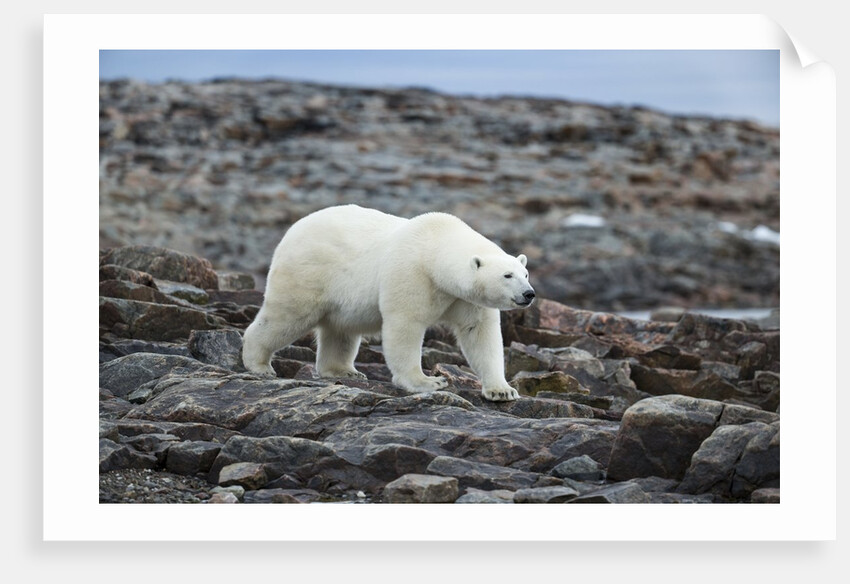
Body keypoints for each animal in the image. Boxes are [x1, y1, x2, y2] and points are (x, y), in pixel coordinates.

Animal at [241, 204, 535, 401]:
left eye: (525, 273)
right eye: (507, 275)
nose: (529, 294)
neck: (435, 246)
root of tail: (292, 230)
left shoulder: (463, 298)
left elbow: (479, 333)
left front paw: (502, 390)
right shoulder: (411, 273)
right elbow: (405, 325)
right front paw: (429, 382)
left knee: (341, 331)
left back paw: (344, 371)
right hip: (308, 272)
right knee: (286, 316)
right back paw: (259, 364)